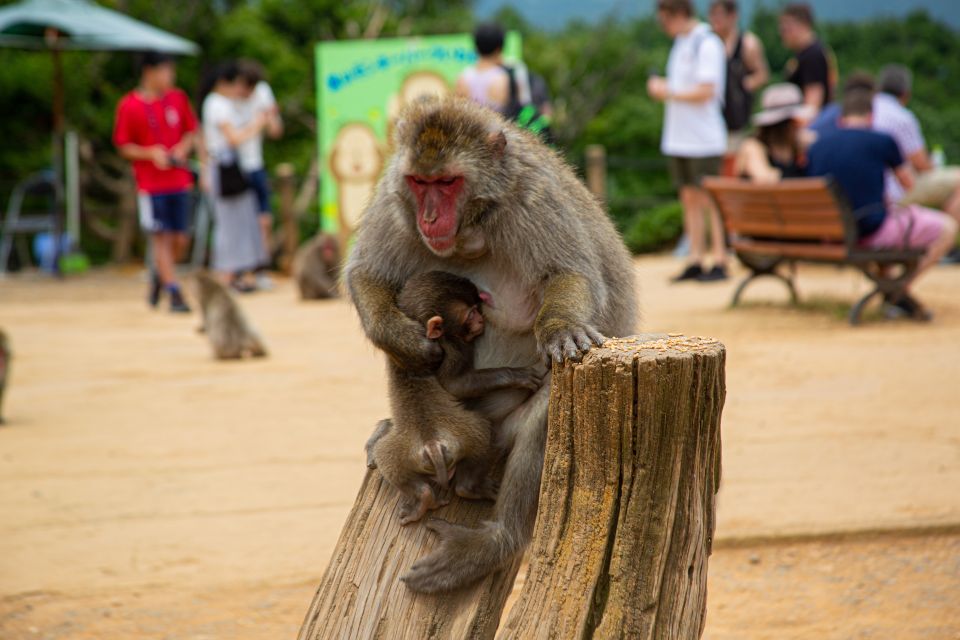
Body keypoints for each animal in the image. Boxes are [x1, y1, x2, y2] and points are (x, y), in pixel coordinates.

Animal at [365, 270, 543, 526]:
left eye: (477, 309)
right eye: (471, 313)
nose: (481, 320)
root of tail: (431, 444)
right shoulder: (453, 346)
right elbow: (455, 385)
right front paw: (518, 376)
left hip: (401, 455)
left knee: (386, 458)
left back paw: (423, 498)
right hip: (466, 434)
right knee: (482, 429)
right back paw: (469, 488)